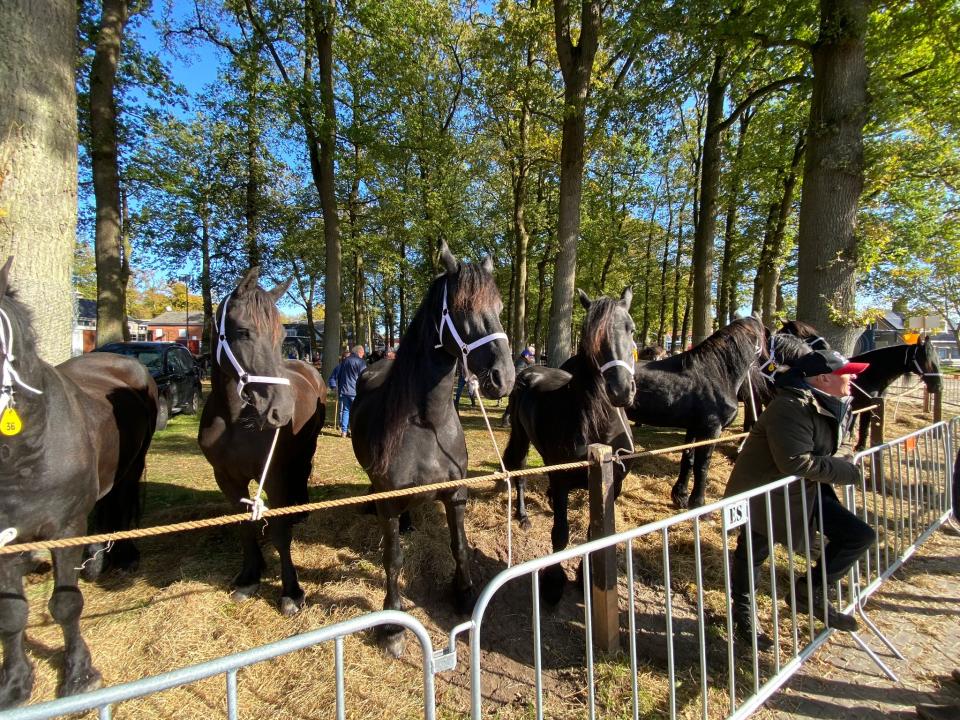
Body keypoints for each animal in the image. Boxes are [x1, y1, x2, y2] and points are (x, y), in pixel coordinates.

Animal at [0, 256, 156, 704]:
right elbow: (11, 613)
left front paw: (79, 676)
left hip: (133, 463)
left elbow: (66, 604)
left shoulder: (65, 527)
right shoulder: (5, 539)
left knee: (119, 501)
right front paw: (15, 684)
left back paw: (119, 557)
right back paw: (98, 561)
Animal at [199, 268, 326, 616]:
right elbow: (245, 527)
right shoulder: (226, 478)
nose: (280, 410)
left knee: (302, 473)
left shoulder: (274, 475)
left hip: (304, 451)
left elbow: (281, 535)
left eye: (282, 337)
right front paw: (249, 577)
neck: (233, 421)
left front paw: (291, 591)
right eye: (243, 332)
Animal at [350, 245, 516, 656]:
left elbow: (459, 546)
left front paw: (465, 593)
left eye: (499, 306)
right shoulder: (389, 501)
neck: (427, 425)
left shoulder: (455, 494)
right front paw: (392, 625)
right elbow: (393, 559)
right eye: (460, 309)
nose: (504, 377)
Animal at [502, 286, 636, 600]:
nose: (621, 390)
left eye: (631, 329)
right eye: (590, 336)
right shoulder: (562, 479)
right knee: (520, 471)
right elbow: (560, 534)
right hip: (521, 437)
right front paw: (553, 581)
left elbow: (593, 536)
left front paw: (584, 578)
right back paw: (523, 515)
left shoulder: (612, 486)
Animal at [628, 316, 768, 512]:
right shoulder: (711, 429)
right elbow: (702, 466)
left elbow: (689, 459)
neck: (717, 373)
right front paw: (699, 505)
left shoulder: (694, 427)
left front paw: (681, 497)